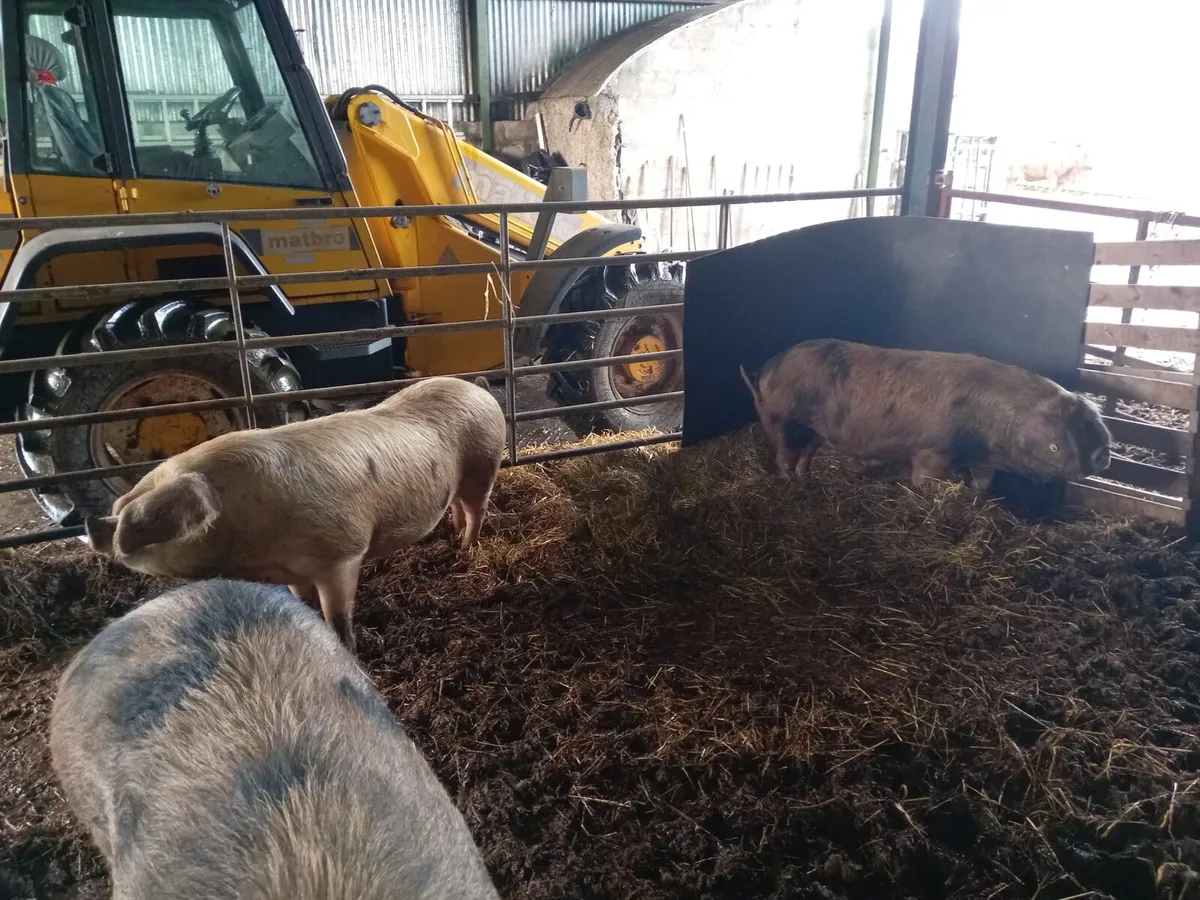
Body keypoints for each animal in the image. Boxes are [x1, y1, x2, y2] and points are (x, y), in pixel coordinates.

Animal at [84, 375, 505, 650]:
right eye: (122, 504)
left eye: (137, 522)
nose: (94, 523)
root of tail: (476, 388)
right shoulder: (290, 571)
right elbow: (304, 604)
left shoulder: (342, 553)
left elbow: (338, 617)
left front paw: (349, 649)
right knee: (456, 505)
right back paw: (451, 536)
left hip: (483, 464)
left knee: (477, 509)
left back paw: (465, 549)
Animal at [739, 338, 1111, 491]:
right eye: (1054, 446)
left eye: (1096, 427)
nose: (1102, 455)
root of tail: (766, 369)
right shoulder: (932, 448)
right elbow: (926, 477)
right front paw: (926, 496)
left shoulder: (985, 458)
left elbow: (984, 482)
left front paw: (974, 497)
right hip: (780, 417)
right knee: (784, 452)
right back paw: (789, 482)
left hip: (815, 429)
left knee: (806, 452)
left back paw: (805, 479)